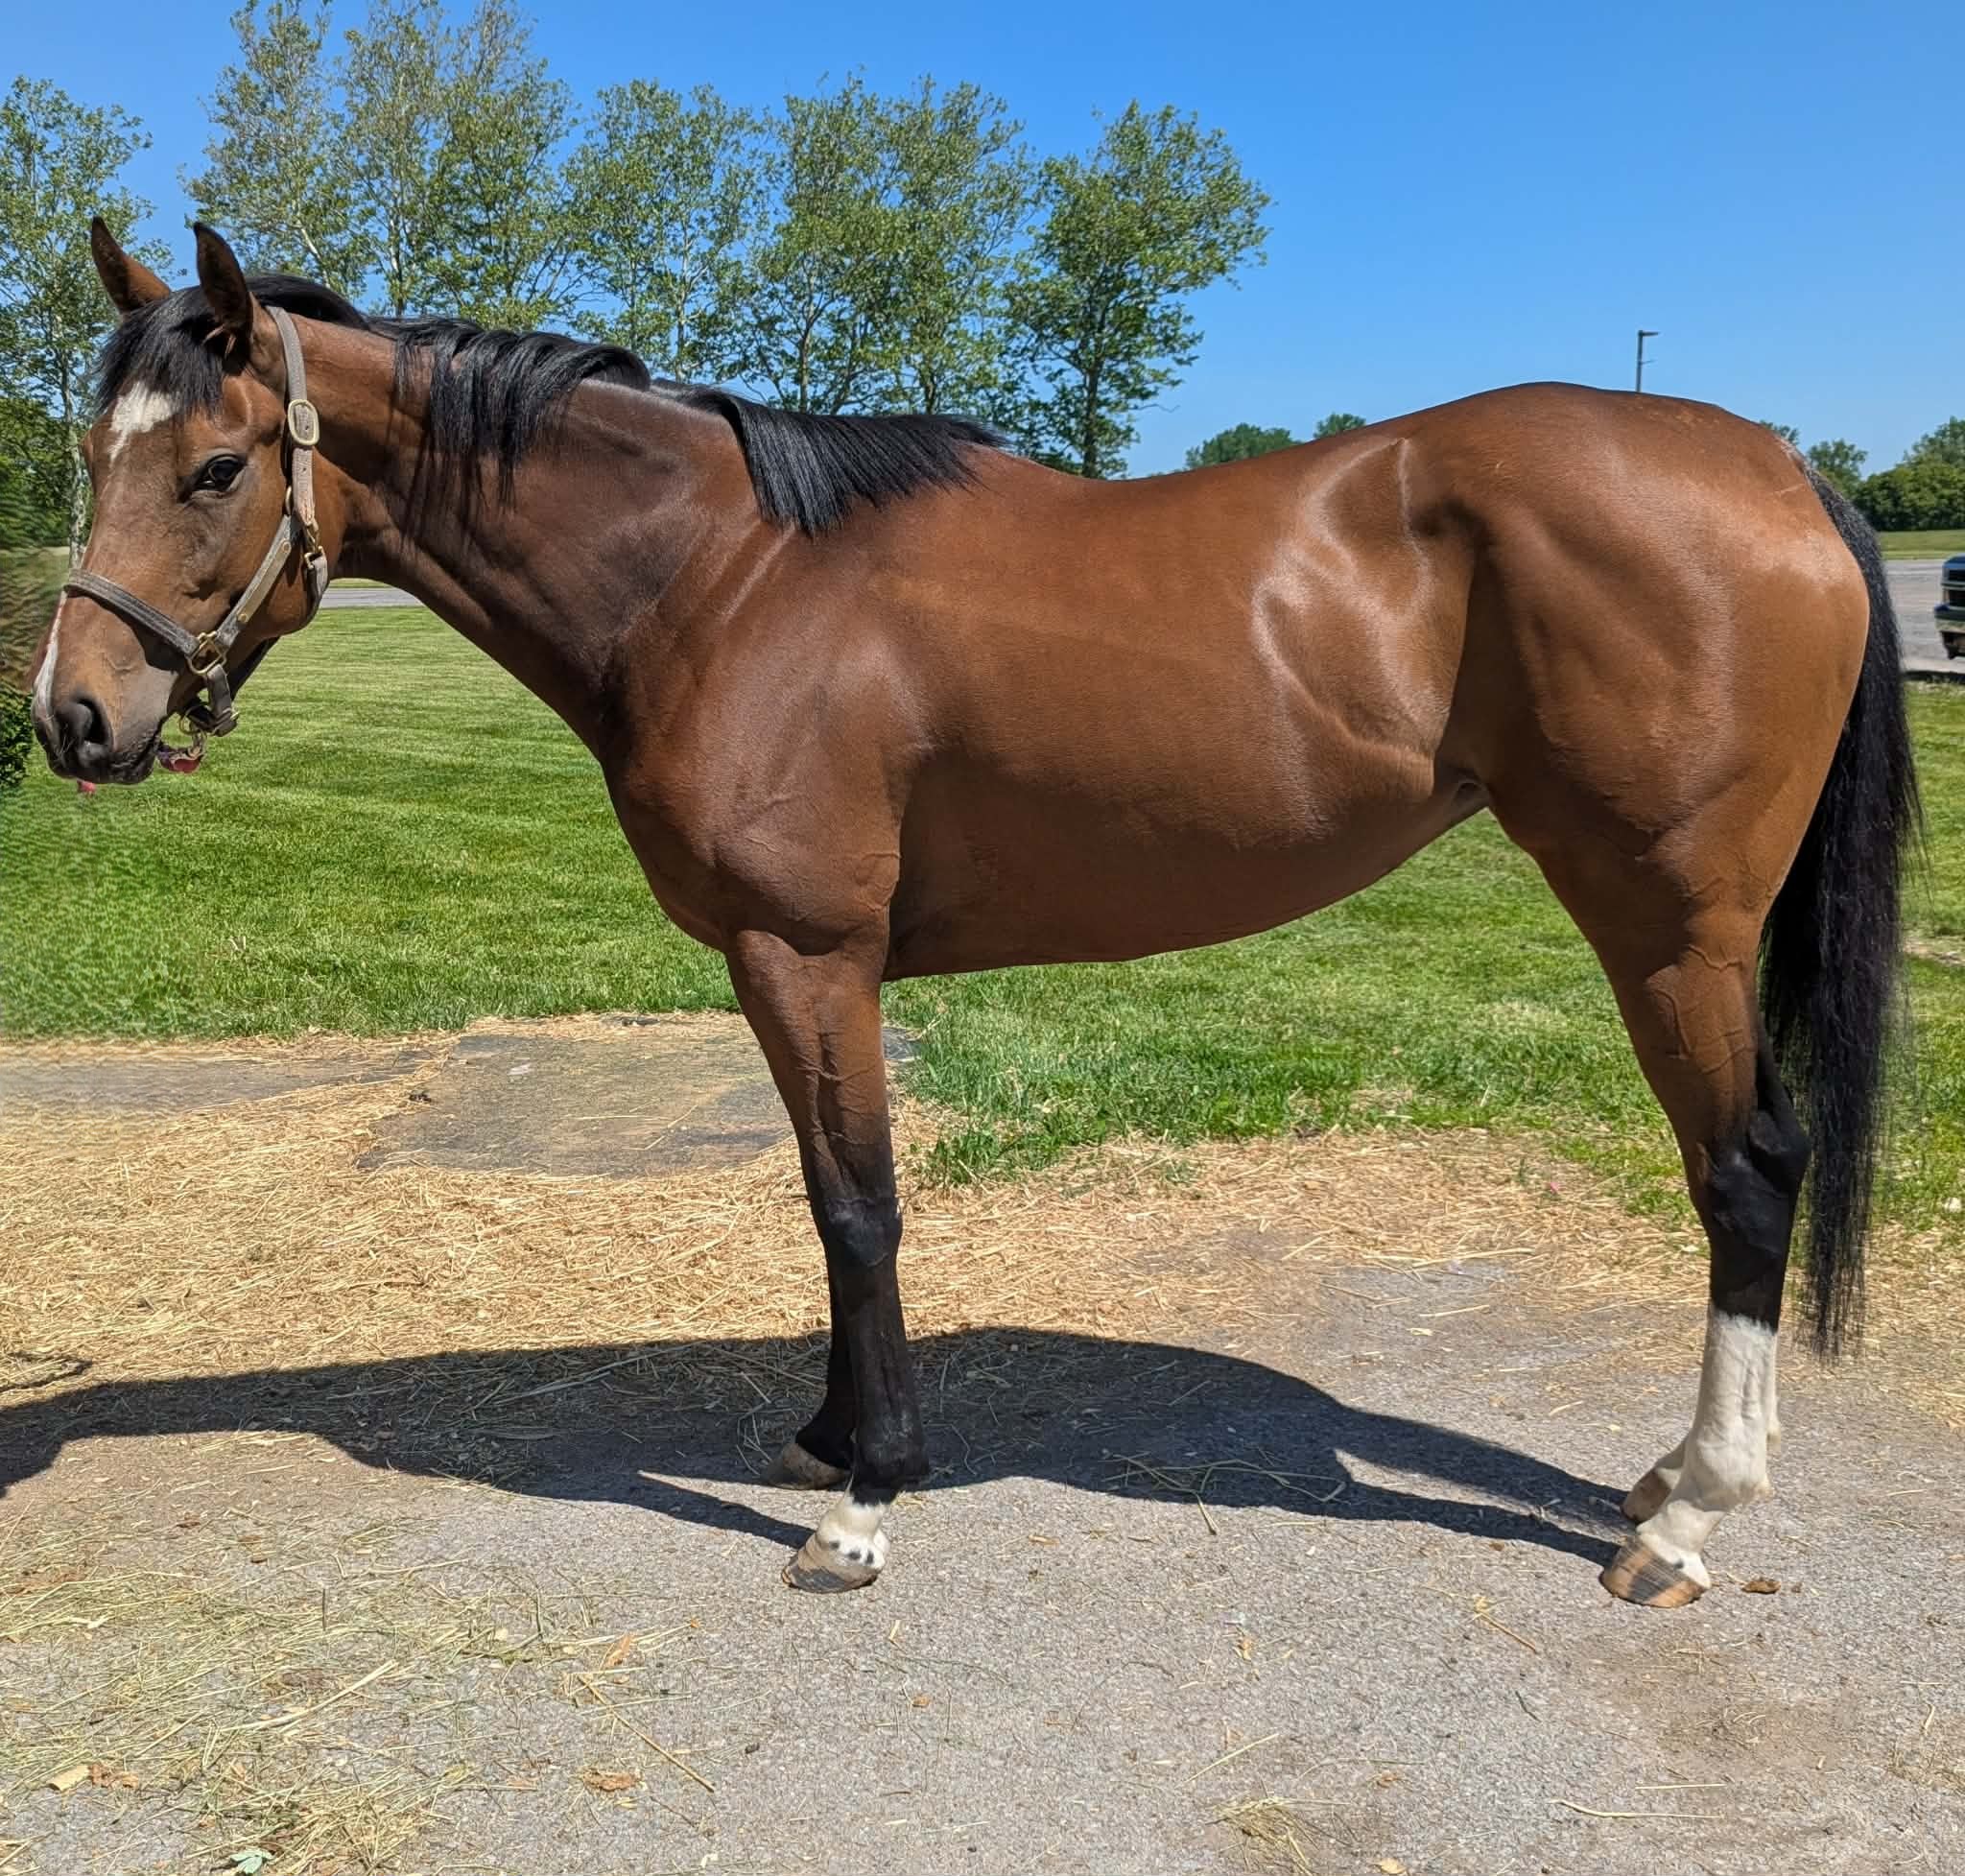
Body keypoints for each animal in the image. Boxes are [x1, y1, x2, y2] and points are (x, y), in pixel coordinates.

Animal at [31, 221, 1917, 1607]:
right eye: (88, 454)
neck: (723, 580)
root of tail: (1775, 469)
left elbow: (860, 1208)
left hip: (1663, 921)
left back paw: (1684, 1518)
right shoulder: (782, 967)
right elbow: (820, 1203)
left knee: (1747, 1168)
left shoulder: (810, 955)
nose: (73, 718)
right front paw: (820, 1435)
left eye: (215, 469)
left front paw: (865, 1502)